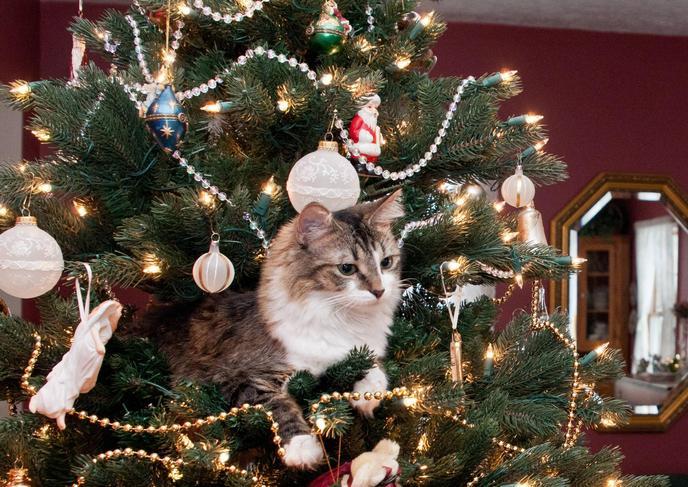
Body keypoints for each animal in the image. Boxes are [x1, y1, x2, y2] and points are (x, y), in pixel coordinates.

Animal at [139, 190, 404, 468]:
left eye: (386, 263)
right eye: (347, 268)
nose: (379, 291)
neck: (342, 318)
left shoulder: (358, 350)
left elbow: (371, 365)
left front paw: (367, 394)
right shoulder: (236, 376)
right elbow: (278, 404)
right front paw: (301, 447)